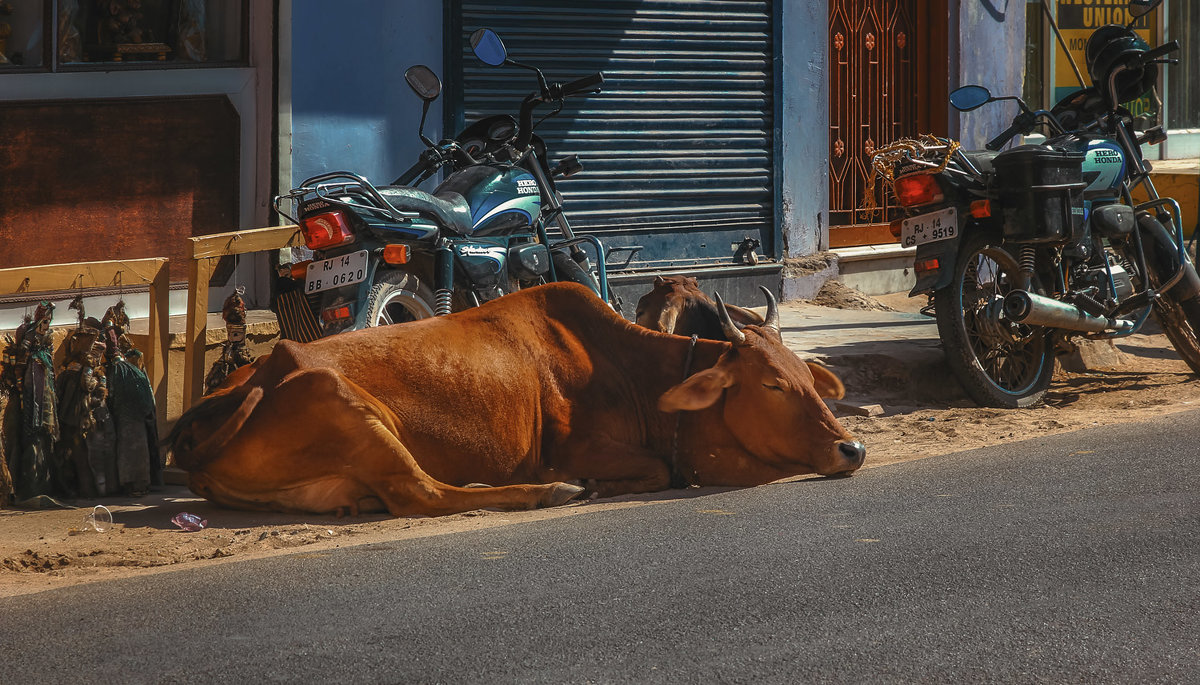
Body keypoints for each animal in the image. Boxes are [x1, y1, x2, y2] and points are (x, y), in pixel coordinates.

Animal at [169, 281, 864, 518]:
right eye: (771, 384)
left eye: (806, 378)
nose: (852, 449)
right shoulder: (581, 443)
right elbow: (657, 470)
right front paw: (592, 484)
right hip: (344, 403)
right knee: (421, 495)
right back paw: (547, 492)